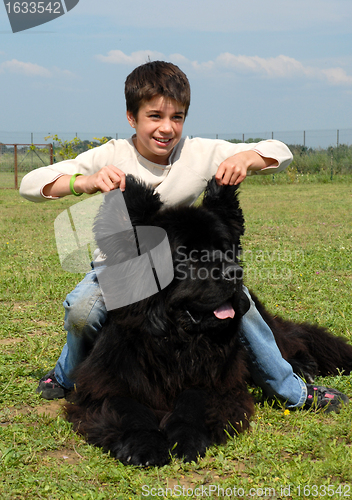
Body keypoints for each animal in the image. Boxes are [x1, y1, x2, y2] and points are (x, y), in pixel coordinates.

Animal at [64, 175, 352, 464]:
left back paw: (303, 368)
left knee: (287, 340)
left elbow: (195, 401)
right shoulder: (106, 382)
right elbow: (127, 407)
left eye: (225, 250)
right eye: (186, 255)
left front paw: (187, 438)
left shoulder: (217, 381)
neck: (175, 341)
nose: (235, 272)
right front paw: (143, 444)